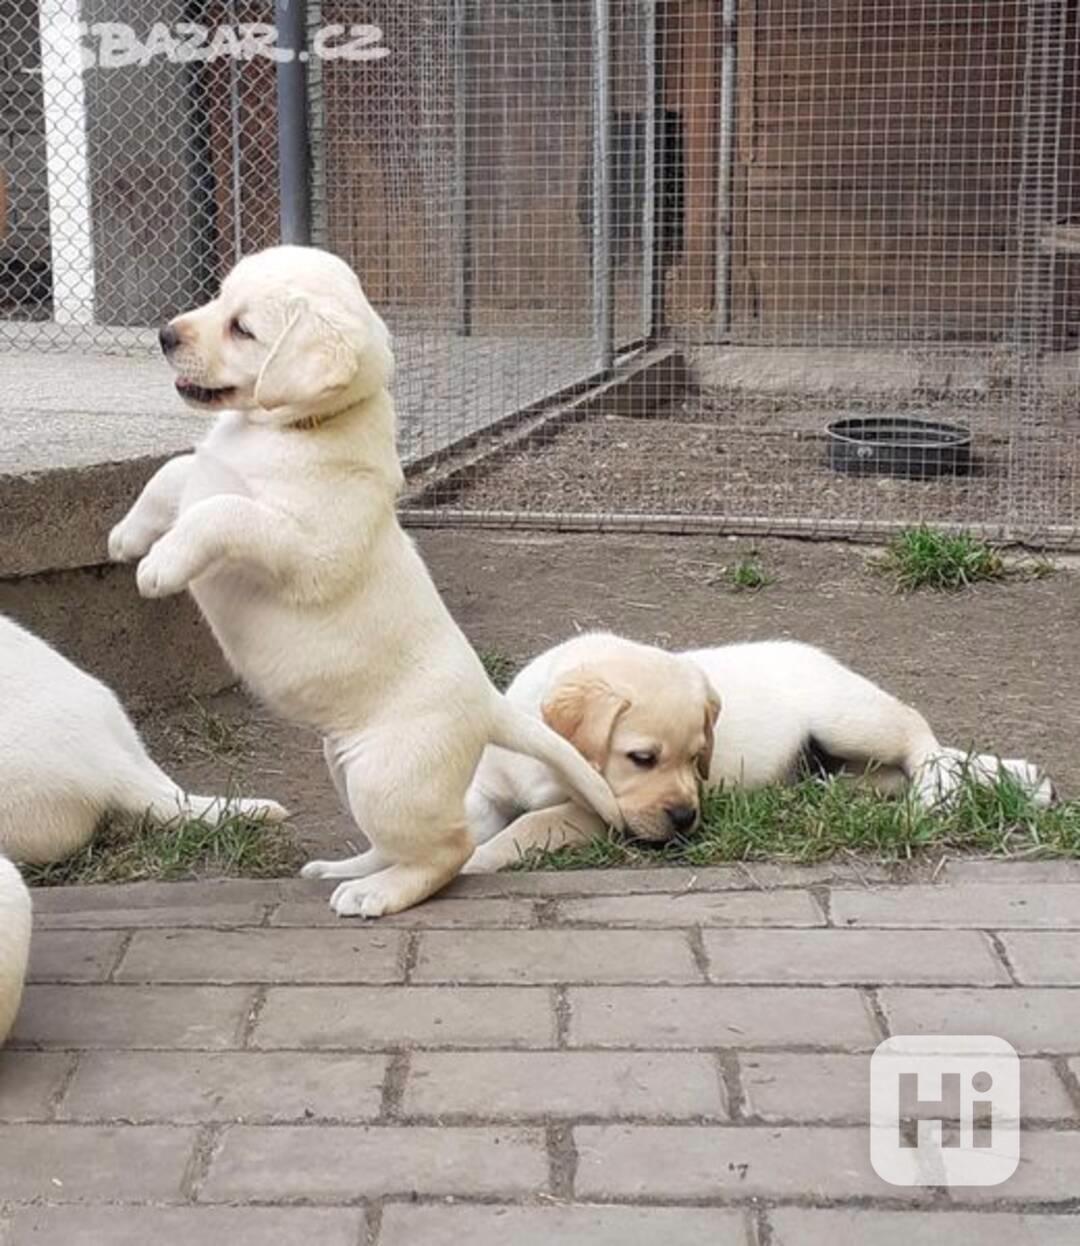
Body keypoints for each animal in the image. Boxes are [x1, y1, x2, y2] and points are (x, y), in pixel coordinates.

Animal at [108, 247, 620, 922]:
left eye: (242, 328)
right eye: (218, 299)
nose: (166, 335)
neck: (289, 429)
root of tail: (489, 704)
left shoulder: (300, 545)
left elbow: (223, 512)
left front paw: (160, 565)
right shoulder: (204, 474)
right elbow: (174, 473)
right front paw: (127, 537)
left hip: (387, 778)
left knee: (449, 848)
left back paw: (376, 893)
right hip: (345, 765)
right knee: (399, 844)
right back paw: (344, 869)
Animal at [465, 632, 1056, 867]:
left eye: (696, 758)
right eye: (643, 758)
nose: (687, 819)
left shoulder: (598, 815)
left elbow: (529, 827)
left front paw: (480, 859)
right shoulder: (489, 788)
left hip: (848, 717)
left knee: (918, 734)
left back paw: (934, 793)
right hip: (847, 760)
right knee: (890, 771)